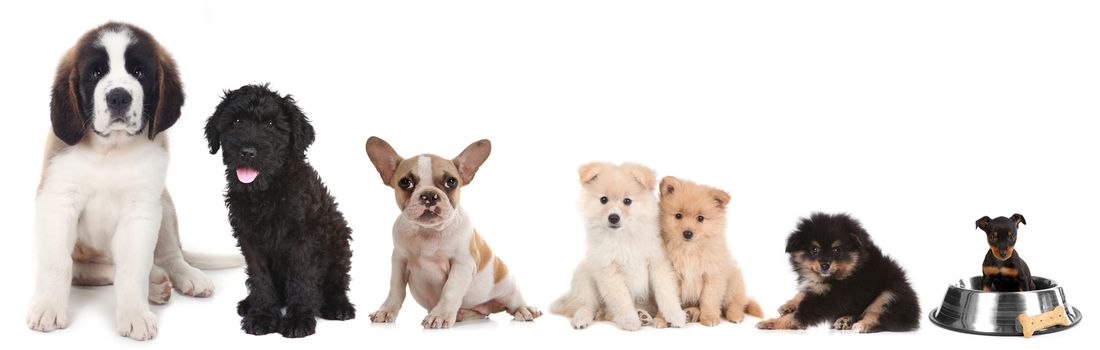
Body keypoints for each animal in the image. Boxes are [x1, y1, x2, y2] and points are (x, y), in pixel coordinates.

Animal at [29, 22, 243, 341]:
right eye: (96, 73)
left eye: (139, 72)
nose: (118, 97)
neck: (111, 150)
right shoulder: (58, 201)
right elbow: (57, 264)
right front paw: (48, 308)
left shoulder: (141, 210)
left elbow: (132, 268)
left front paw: (135, 315)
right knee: (91, 269)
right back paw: (155, 283)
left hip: (164, 205)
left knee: (170, 255)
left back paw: (185, 277)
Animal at [206, 83, 356, 336]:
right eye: (236, 121)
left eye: (270, 124)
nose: (248, 151)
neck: (266, 192)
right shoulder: (249, 239)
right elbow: (260, 277)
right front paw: (262, 315)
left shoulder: (304, 238)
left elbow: (301, 277)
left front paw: (298, 320)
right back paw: (249, 303)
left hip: (339, 241)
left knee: (337, 281)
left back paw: (338, 305)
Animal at [550, 162, 686, 330]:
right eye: (603, 199)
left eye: (627, 201)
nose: (613, 217)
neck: (623, 237)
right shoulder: (609, 271)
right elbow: (622, 301)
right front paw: (629, 321)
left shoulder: (657, 263)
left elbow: (666, 293)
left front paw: (675, 315)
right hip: (585, 278)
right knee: (587, 306)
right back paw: (582, 319)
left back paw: (642, 315)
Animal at [646, 176, 761, 325]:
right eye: (678, 215)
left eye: (700, 218)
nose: (687, 233)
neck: (690, 250)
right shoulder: (671, 276)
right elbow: (669, 300)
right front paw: (662, 319)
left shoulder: (712, 275)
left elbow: (709, 300)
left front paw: (710, 317)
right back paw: (692, 313)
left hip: (734, 280)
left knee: (736, 302)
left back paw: (735, 315)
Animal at [756, 213, 919, 334]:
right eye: (814, 249)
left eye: (837, 250)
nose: (825, 265)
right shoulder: (819, 289)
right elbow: (803, 293)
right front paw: (788, 305)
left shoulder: (830, 298)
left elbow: (798, 315)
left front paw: (771, 322)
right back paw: (845, 320)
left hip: (890, 293)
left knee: (882, 316)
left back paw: (862, 325)